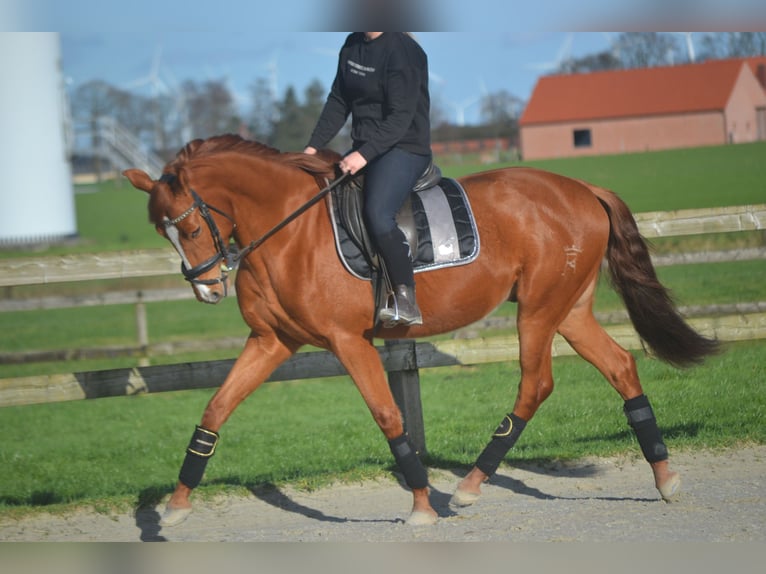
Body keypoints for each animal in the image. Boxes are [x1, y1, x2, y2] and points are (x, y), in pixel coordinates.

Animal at [124, 134, 720, 528]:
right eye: (162, 232)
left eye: (190, 228)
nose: (207, 290)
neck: (289, 229)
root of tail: (581, 187)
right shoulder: (272, 342)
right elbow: (215, 410)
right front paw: (176, 506)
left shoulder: (348, 342)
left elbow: (388, 416)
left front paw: (419, 506)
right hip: (569, 311)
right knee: (621, 367)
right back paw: (665, 478)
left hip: (537, 312)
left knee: (535, 385)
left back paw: (469, 488)